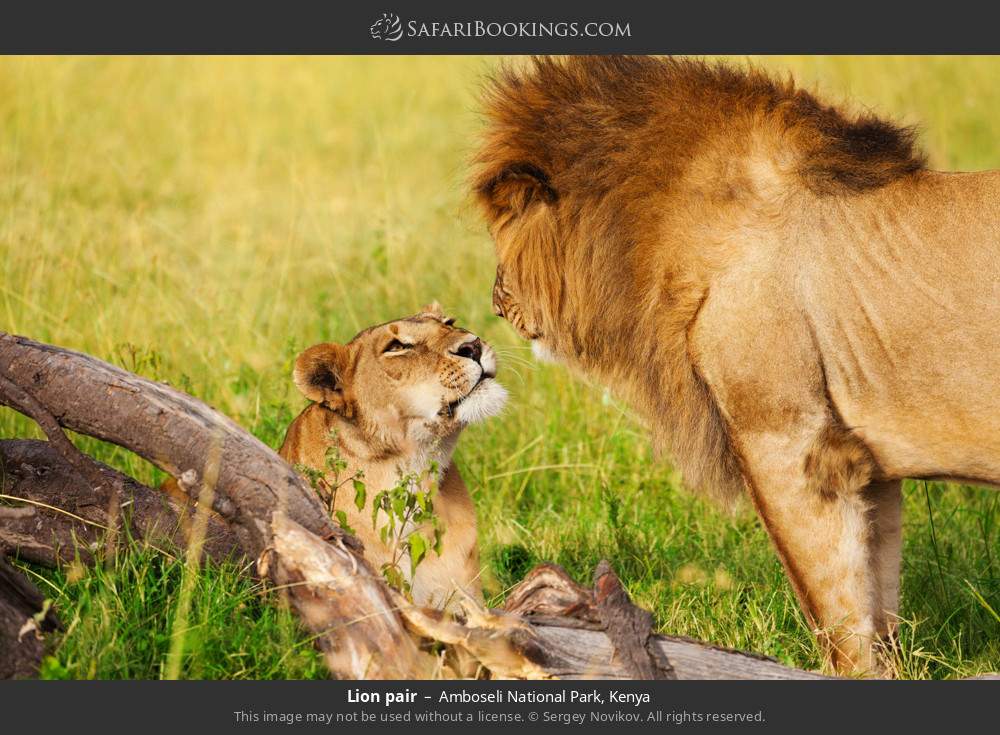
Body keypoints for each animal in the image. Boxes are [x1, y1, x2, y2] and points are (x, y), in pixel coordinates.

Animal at [472, 56, 1000, 680]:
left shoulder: (793, 444)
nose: (496, 299)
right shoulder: (868, 466)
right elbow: (879, 598)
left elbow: (835, 611)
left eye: (503, 225)